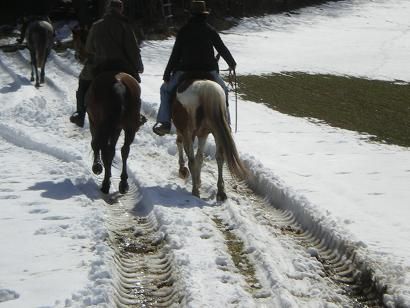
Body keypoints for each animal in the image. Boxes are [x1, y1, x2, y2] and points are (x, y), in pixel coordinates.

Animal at [86, 61, 144, 194]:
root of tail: (119, 84)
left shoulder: (94, 122)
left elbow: (95, 144)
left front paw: (97, 166)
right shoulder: (117, 128)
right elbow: (112, 150)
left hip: (102, 125)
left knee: (104, 148)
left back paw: (105, 182)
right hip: (128, 127)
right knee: (124, 150)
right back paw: (123, 183)